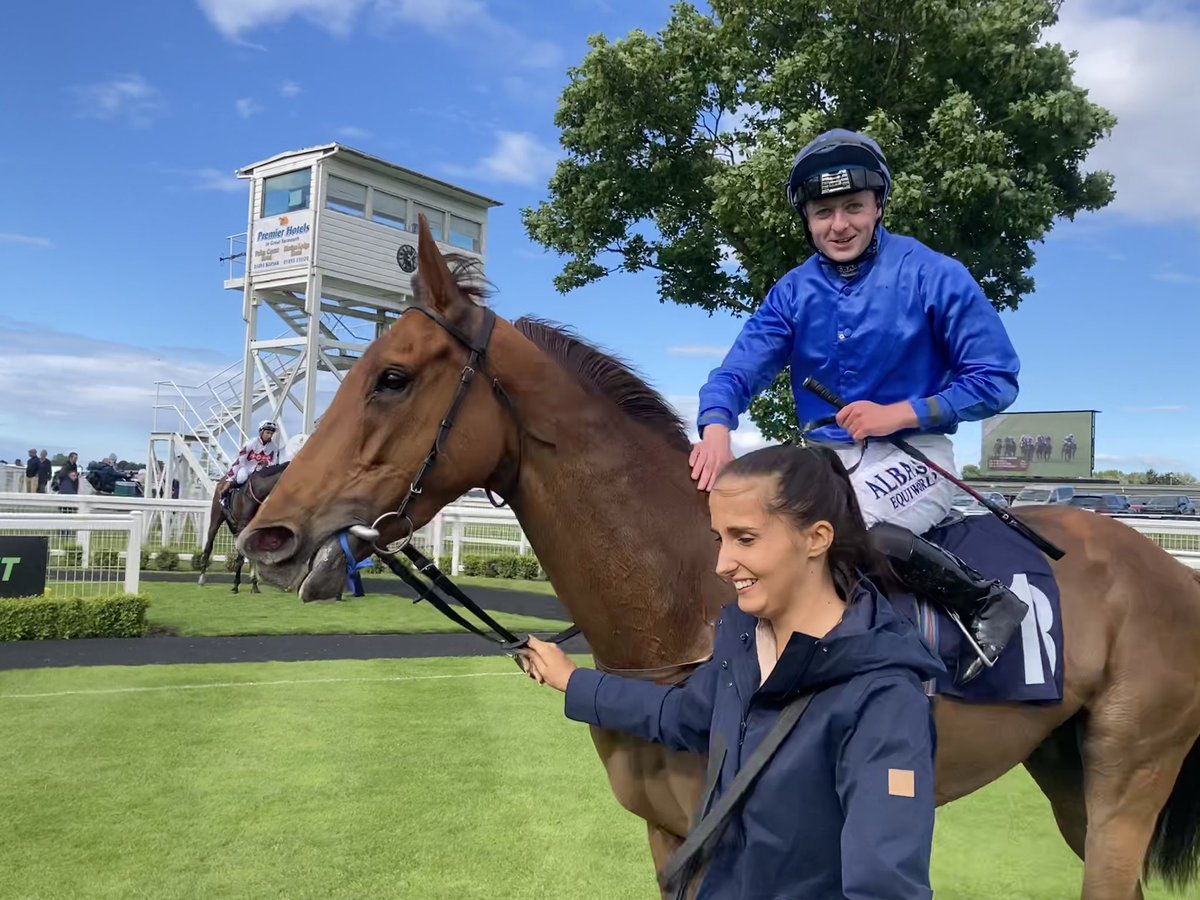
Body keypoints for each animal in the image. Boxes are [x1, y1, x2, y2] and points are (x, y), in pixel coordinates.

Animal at [241, 220, 1200, 900]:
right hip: (1069, 775)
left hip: (1130, 776)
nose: (266, 535)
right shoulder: (669, 837)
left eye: (392, 377)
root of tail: (1170, 569)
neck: (684, 601)